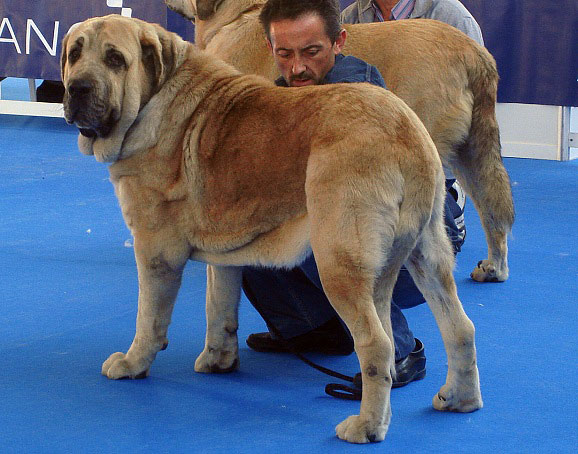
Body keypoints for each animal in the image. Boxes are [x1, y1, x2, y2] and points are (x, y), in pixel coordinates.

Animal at [59, 15, 482, 446]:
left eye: (115, 59)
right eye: (74, 53)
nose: (77, 88)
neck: (154, 98)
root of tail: (406, 130)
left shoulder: (154, 252)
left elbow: (149, 318)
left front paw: (132, 363)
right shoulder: (223, 256)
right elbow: (219, 306)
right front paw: (218, 360)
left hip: (337, 260)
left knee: (376, 344)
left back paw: (366, 426)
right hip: (426, 255)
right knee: (459, 328)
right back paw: (458, 399)